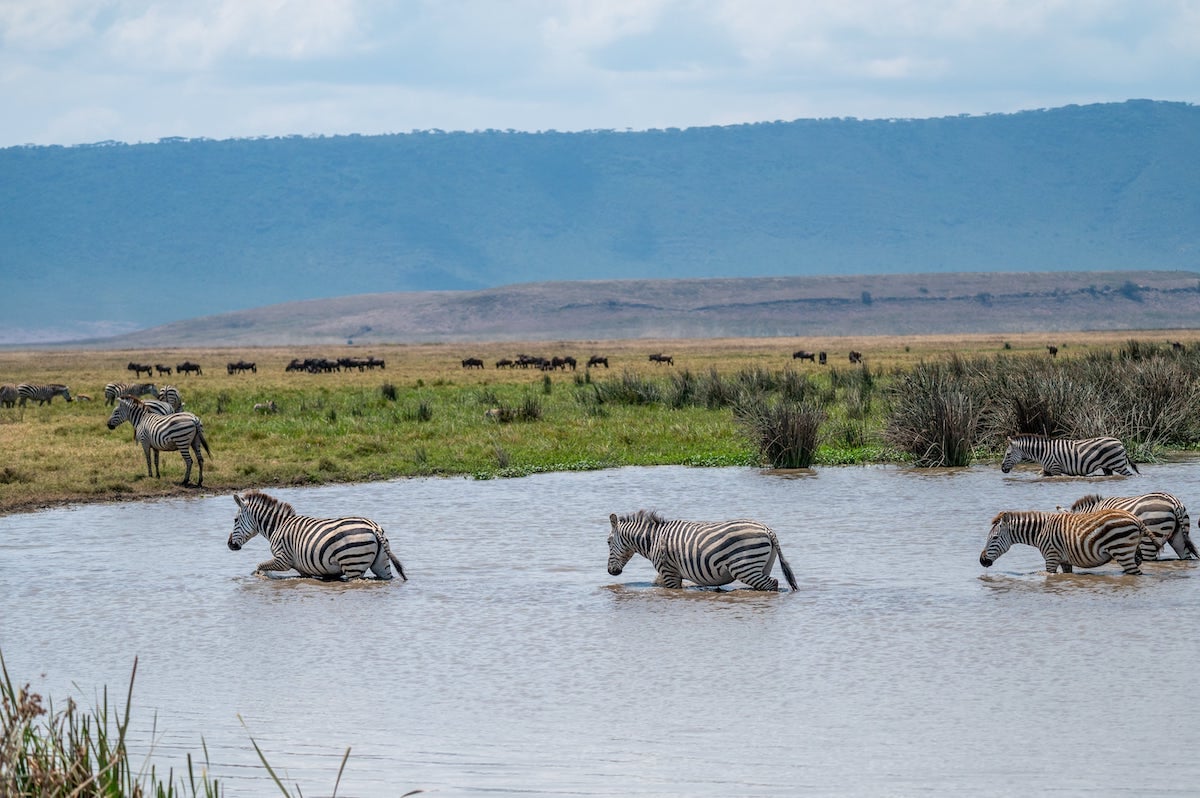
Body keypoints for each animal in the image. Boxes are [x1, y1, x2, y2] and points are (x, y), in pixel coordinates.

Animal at [228, 484, 408, 578]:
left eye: (235, 520)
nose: (230, 545)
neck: (278, 527)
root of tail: (373, 527)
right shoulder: (303, 569)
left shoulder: (283, 559)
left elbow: (259, 566)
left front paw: (259, 575)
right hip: (381, 563)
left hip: (353, 564)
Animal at [609, 506, 796, 588]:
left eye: (608, 542)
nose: (611, 572)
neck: (654, 539)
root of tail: (767, 529)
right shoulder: (669, 573)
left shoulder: (669, 571)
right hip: (763, 565)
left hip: (744, 567)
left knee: (771, 584)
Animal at [979, 506, 1147, 576]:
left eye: (994, 538)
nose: (982, 561)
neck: (1040, 531)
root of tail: (1137, 520)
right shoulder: (1064, 560)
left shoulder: (1051, 557)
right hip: (1130, 551)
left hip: (1121, 550)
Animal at [998, 432, 1137, 475]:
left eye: (1008, 454)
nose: (1002, 469)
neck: (1043, 452)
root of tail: (1120, 442)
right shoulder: (1047, 470)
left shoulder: (1055, 469)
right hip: (1107, 467)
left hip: (1118, 465)